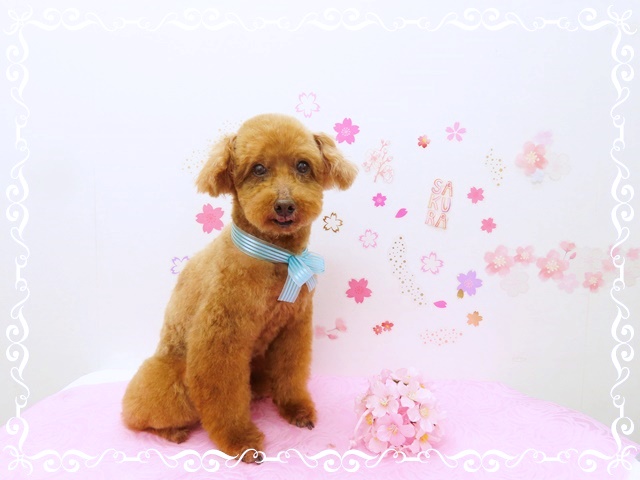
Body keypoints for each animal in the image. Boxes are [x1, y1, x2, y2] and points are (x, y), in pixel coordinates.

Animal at [121, 113, 357, 462]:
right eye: (258, 169)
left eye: (303, 165)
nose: (285, 205)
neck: (276, 257)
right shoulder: (220, 339)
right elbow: (224, 395)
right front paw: (241, 441)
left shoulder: (293, 326)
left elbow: (291, 371)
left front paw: (296, 409)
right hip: (170, 377)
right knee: (142, 417)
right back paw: (172, 431)